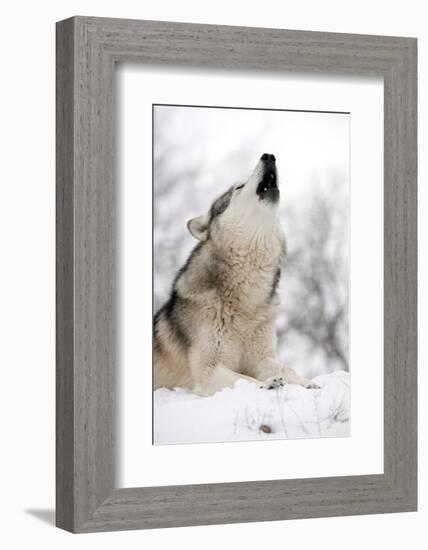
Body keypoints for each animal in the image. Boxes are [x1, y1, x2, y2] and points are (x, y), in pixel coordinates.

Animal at [152, 155, 316, 396]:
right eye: (238, 187)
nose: (269, 156)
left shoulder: (262, 358)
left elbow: (287, 369)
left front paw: (307, 383)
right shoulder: (209, 370)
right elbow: (245, 379)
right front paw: (268, 384)